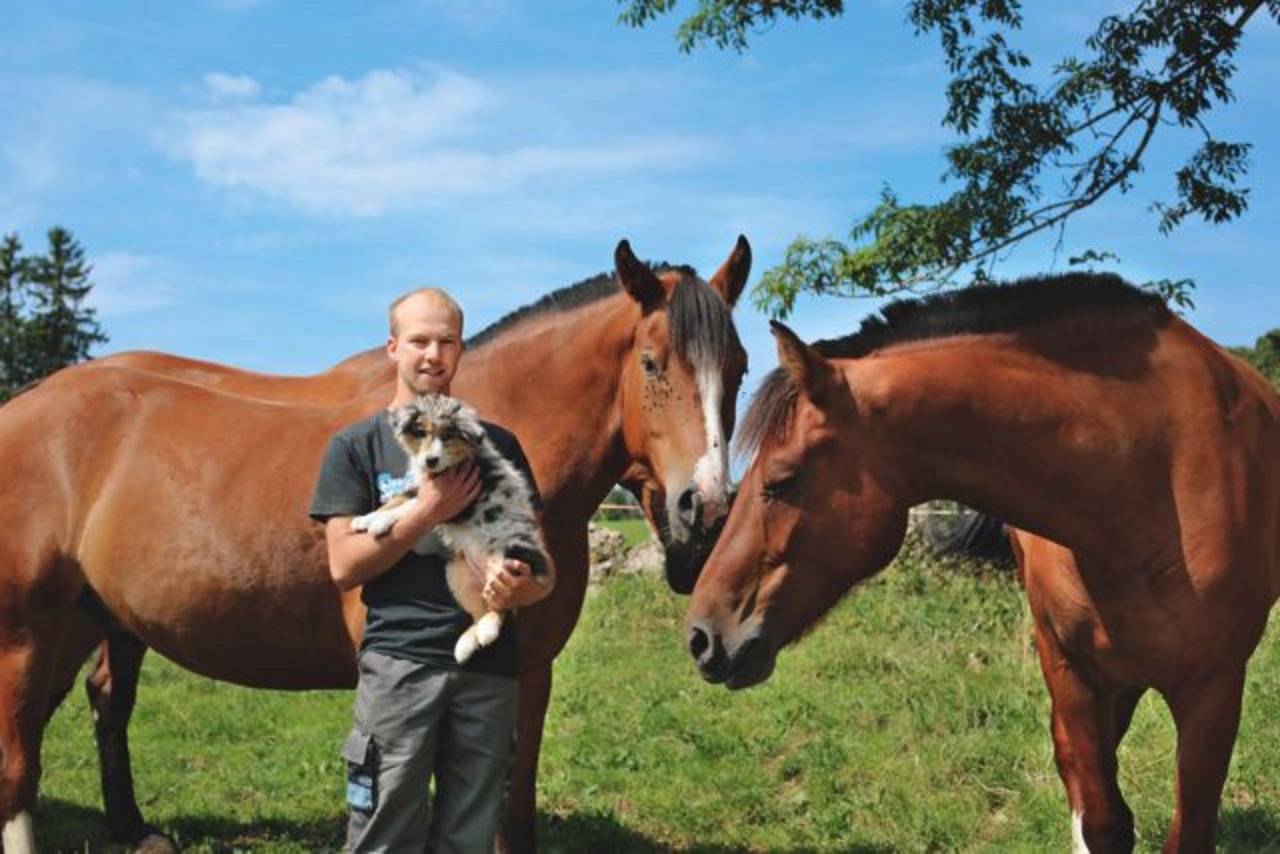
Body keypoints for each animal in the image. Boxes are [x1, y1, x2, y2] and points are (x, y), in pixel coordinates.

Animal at [353, 394, 552, 665]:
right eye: (421, 432)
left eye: (448, 435)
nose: (431, 460)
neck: (453, 463)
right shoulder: (426, 488)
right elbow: (402, 498)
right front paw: (366, 518)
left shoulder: (462, 500)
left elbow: (410, 506)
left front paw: (380, 522)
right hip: (457, 575)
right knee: (481, 609)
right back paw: (467, 643)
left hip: (508, 562)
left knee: (501, 607)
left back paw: (486, 631)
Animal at [686, 275, 1280, 854]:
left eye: (781, 481)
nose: (701, 636)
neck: (1148, 480)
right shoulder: (1073, 672)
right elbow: (1104, 821)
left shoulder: (1212, 694)